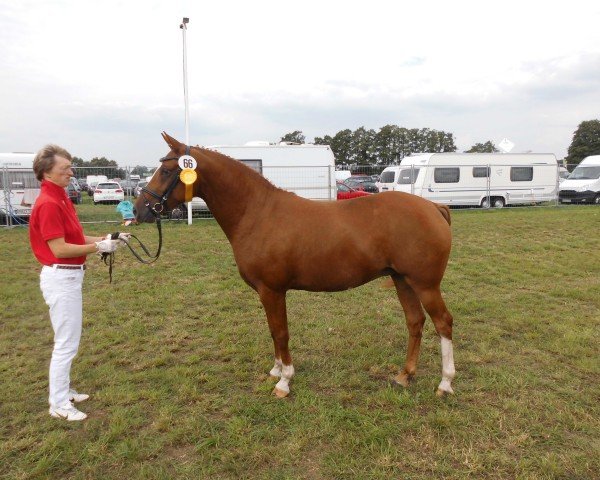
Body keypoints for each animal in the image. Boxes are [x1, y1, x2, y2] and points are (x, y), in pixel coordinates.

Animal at [136, 134, 454, 398]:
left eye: (167, 171)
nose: (140, 210)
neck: (257, 212)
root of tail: (433, 207)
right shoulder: (267, 293)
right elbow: (272, 330)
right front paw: (276, 370)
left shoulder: (272, 290)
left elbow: (281, 332)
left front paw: (284, 381)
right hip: (402, 280)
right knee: (415, 322)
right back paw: (405, 375)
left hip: (425, 284)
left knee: (443, 323)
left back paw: (445, 384)